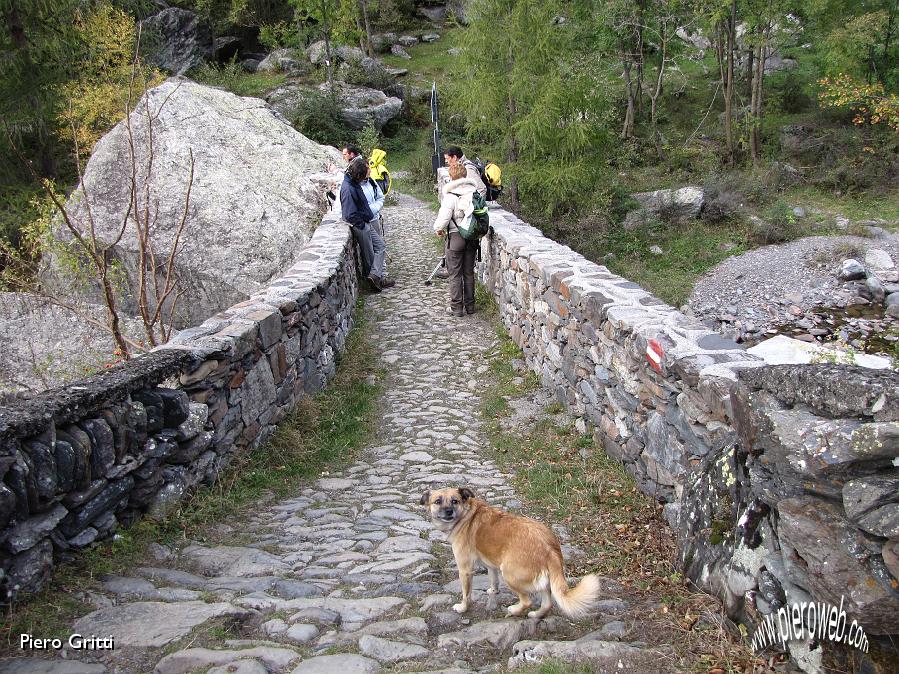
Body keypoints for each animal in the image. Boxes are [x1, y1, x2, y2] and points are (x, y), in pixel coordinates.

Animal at [418, 486, 600, 616]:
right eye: (438, 501)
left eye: (454, 501)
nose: (448, 511)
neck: (466, 514)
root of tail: (549, 549)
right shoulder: (491, 564)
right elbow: (493, 579)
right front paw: (494, 591)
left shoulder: (465, 570)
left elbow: (466, 594)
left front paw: (463, 608)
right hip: (542, 580)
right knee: (547, 603)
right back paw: (535, 615)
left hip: (509, 574)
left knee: (527, 601)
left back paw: (514, 610)